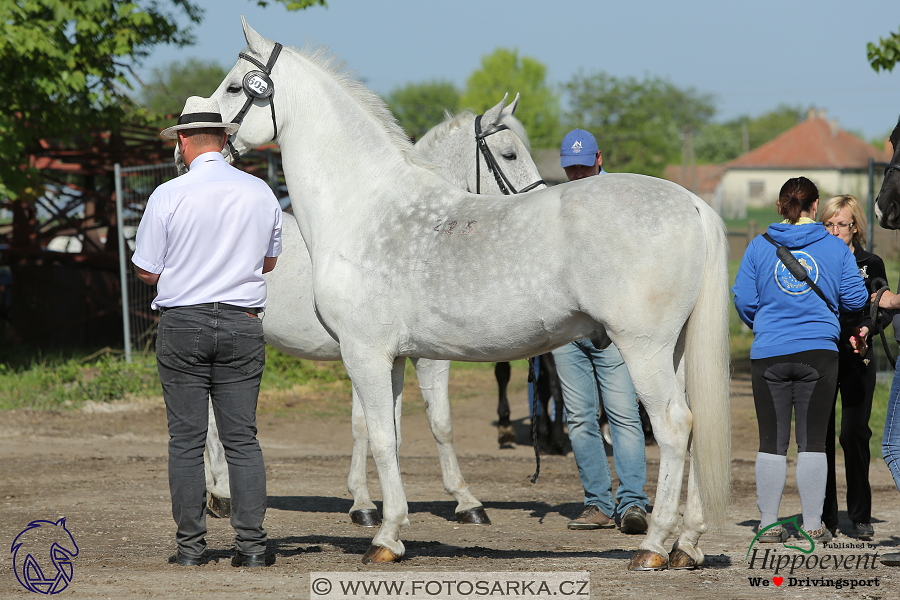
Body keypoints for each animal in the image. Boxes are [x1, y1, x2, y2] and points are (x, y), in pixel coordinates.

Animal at [202, 96, 540, 528]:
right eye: (510, 153)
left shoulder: (386, 355)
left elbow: (386, 427)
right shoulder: (412, 357)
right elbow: (428, 424)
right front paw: (458, 501)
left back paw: (216, 491)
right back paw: (221, 492)